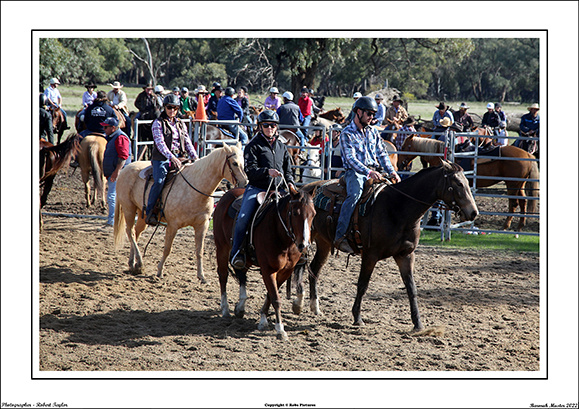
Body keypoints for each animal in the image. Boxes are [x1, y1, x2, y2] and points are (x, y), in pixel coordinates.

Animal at [114, 143, 248, 280]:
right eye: (234, 163)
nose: (245, 183)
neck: (195, 187)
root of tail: (125, 168)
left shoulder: (202, 225)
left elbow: (199, 251)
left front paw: (201, 276)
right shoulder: (173, 225)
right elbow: (167, 249)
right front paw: (159, 271)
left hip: (143, 214)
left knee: (136, 233)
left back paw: (133, 264)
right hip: (129, 208)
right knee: (130, 232)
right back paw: (139, 263)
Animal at [215, 185, 318, 338]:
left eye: (313, 214)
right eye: (295, 213)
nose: (304, 245)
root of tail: (227, 193)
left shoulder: (286, 271)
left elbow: (270, 294)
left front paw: (263, 320)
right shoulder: (268, 270)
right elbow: (275, 298)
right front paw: (280, 329)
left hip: (245, 258)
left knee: (241, 274)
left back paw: (240, 307)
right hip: (221, 248)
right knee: (223, 276)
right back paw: (225, 309)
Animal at [296, 161, 478, 330]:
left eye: (467, 182)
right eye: (458, 183)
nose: (473, 212)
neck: (397, 208)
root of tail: (305, 188)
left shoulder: (405, 255)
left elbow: (411, 288)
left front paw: (418, 323)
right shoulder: (370, 255)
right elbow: (362, 285)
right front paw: (357, 318)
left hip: (324, 243)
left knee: (314, 269)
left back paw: (315, 307)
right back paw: (297, 303)